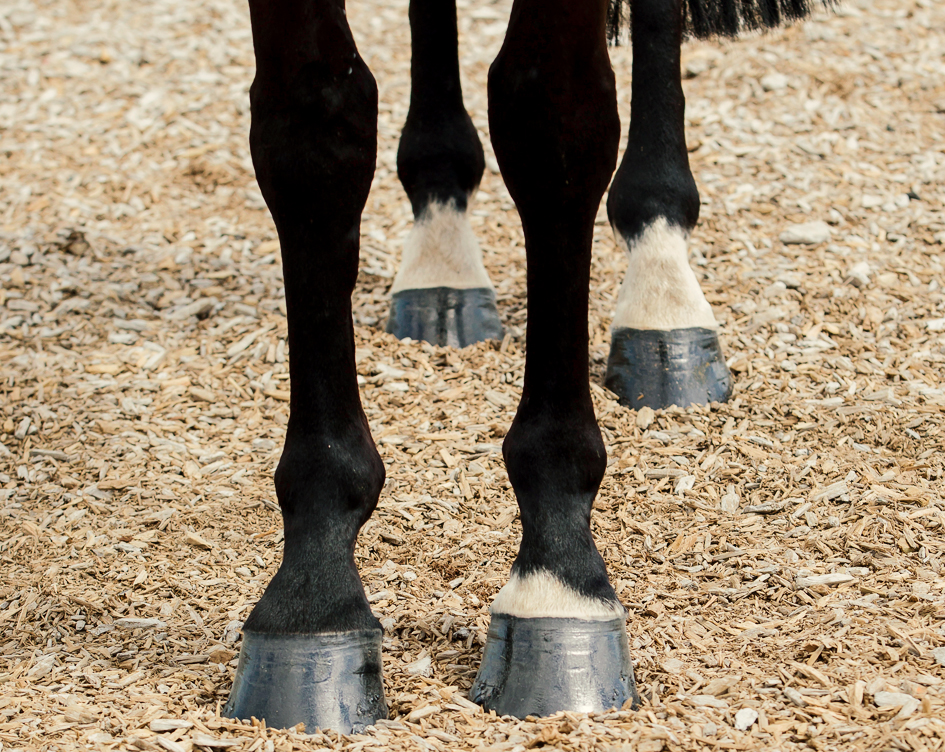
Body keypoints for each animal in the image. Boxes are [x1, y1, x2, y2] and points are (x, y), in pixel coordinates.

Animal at [224, 0, 816, 732]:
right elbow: (315, 130)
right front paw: (312, 593)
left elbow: (552, 111)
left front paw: (559, 571)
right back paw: (442, 259)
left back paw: (662, 291)